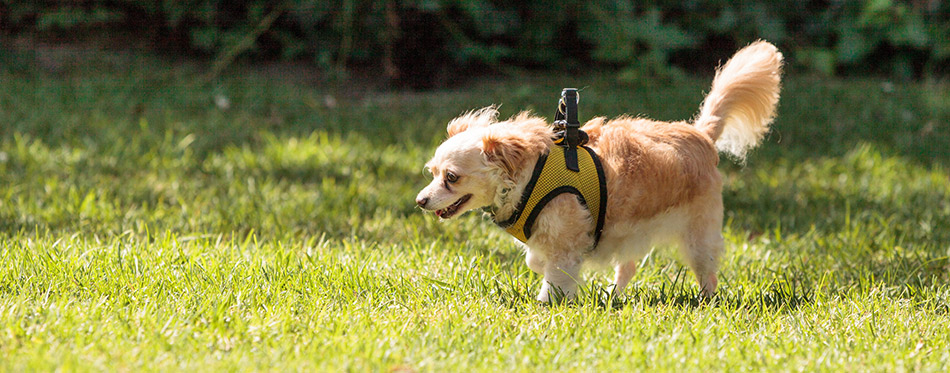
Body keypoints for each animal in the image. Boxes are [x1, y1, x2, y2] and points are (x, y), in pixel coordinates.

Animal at [414, 41, 780, 302]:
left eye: (451, 177)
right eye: (432, 173)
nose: (420, 201)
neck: (530, 176)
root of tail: (701, 135)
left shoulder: (566, 242)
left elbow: (556, 277)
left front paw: (548, 304)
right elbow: (538, 261)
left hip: (698, 234)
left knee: (707, 271)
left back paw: (706, 300)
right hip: (632, 231)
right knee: (628, 265)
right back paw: (611, 296)